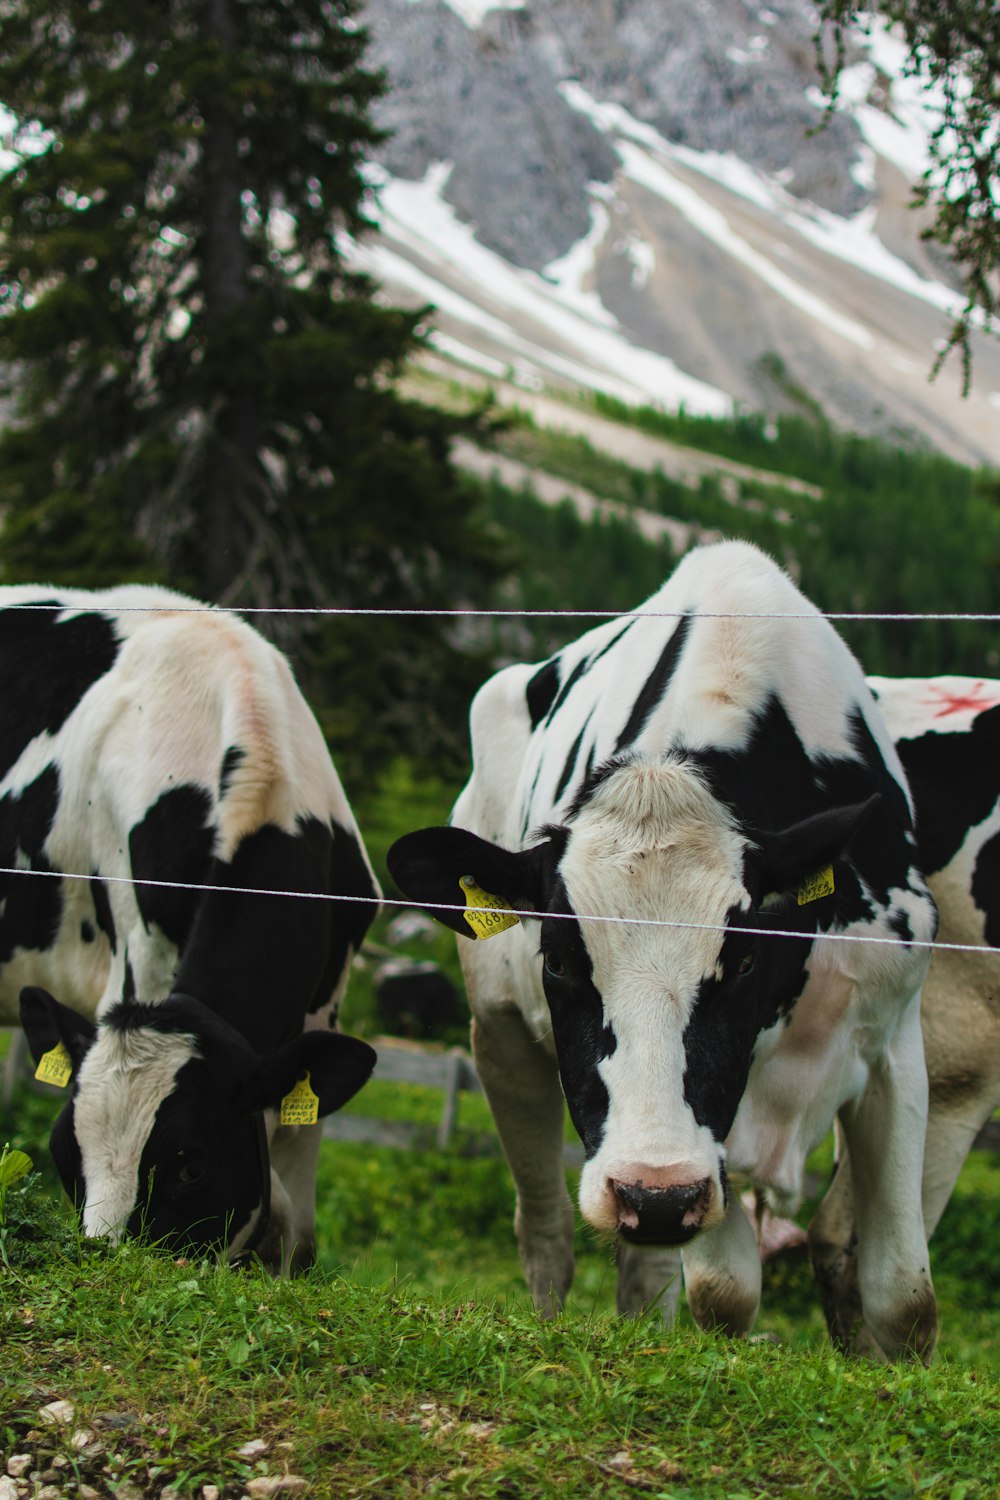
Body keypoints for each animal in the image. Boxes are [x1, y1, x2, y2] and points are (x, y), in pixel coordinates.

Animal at [1, 579, 379, 1272]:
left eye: (190, 1165)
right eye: (66, 1152)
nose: (105, 1258)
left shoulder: (328, 998)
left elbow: (301, 1223)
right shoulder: (138, 957)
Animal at [389, 540, 941, 1362]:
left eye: (742, 960)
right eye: (559, 960)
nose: (655, 1195)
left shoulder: (893, 1043)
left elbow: (903, 1296)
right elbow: (724, 1294)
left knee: (642, 1272)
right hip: (500, 1036)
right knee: (546, 1233)